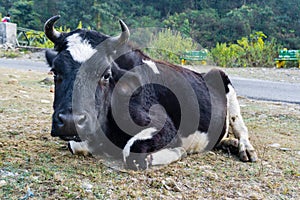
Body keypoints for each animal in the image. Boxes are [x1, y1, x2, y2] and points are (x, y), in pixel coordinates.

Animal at [44, 14, 258, 170]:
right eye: (55, 71)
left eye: (106, 74)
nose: (71, 121)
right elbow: (77, 146)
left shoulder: (164, 126)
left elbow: (133, 153)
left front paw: (178, 151)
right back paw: (229, 144)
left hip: (224, 81)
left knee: (240, 126)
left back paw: (245, 149)